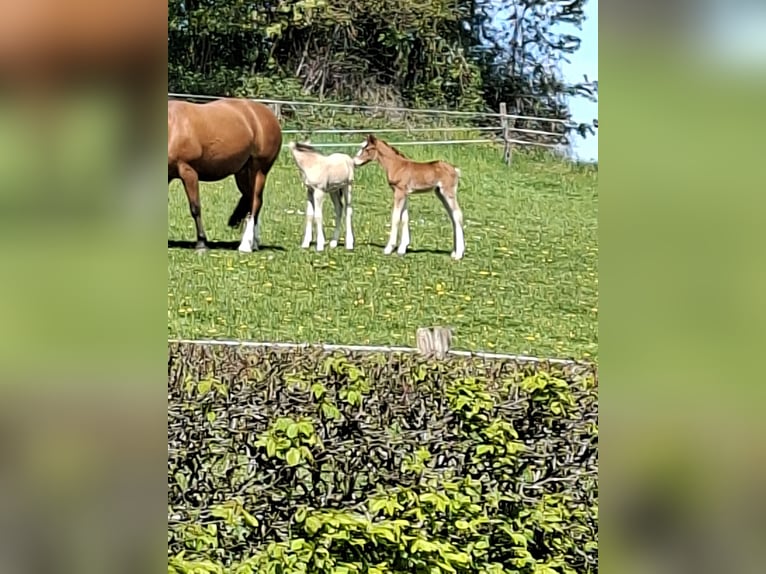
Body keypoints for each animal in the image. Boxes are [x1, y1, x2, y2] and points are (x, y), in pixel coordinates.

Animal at [168, 98, 282, 252]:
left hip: (259, 171)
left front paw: (201, 243)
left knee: (256, 203)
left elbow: (195, 208)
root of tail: (268, 114)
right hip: (243, 174)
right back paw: (254, 242)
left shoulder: (188, 172)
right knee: (251, 200)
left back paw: (246, 245)